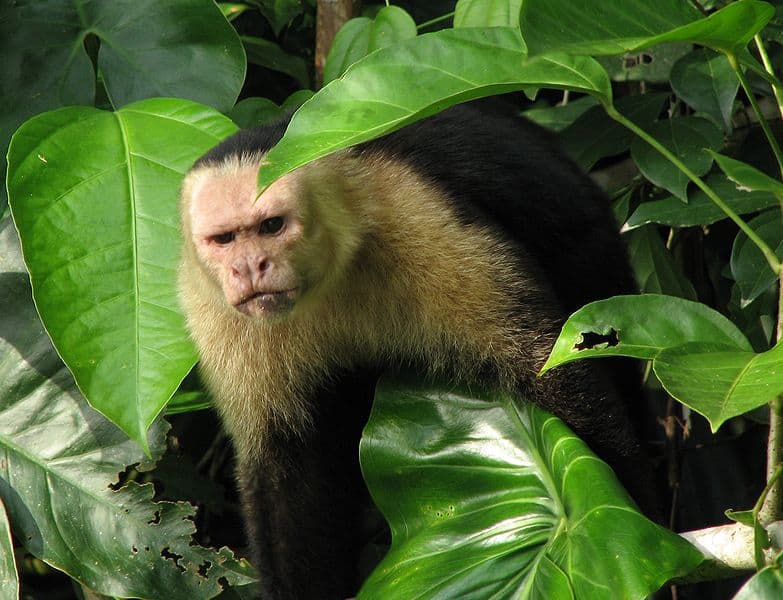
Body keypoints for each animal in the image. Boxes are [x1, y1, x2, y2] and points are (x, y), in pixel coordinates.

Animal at [178, 103, 656, 600]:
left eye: (271, 226)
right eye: (225, 239)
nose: (249, 267)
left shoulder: (413, 214)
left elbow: (552, 371)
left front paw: (629, 523)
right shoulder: (210, 307)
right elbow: (286, 468)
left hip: (593, 243)